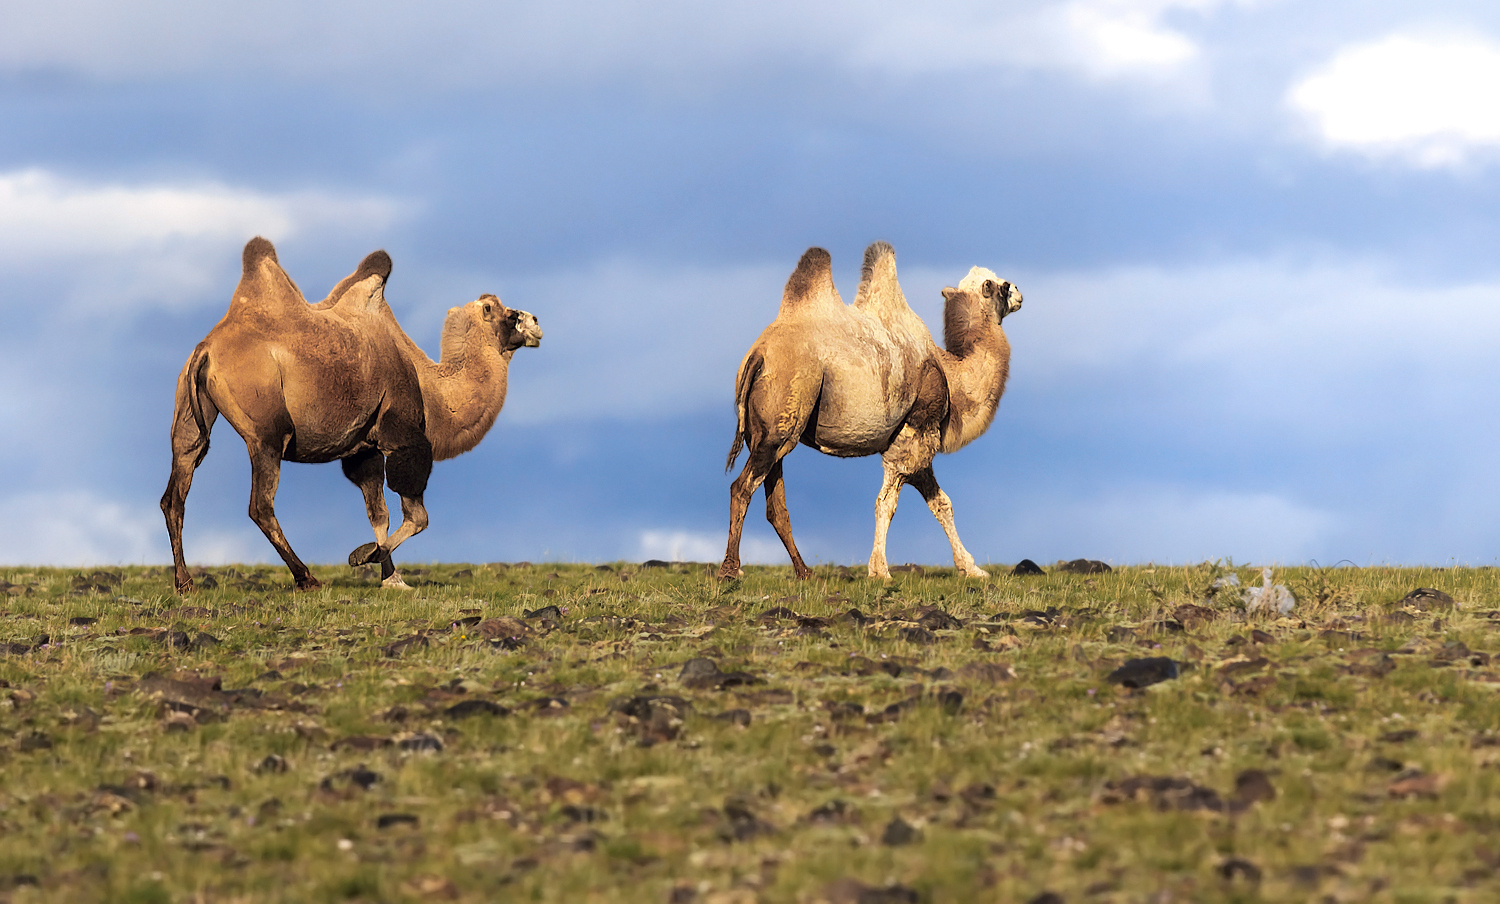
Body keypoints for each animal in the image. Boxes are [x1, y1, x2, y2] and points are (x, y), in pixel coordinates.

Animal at [158, 236, 543, 596]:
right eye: (499, 310)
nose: (537, 322)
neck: (429, 385)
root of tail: (207, 349)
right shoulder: (402, 434)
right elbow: (417, 516)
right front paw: (365, 555)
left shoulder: (364, 448)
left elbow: (379, 514)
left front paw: (392, 578)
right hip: (266, 431)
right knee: (260, 505)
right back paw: (307, 578)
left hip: (188, 417)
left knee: (176, 491)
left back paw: (185, 582)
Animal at [714, 239, 1020, 578]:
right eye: (1001, 285)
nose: (1020, 293)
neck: (952, 374)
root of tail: (758, 354)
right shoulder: (916, 430)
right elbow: (887, 503)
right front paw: (879, 571)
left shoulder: (915, 441)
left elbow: (941, 503)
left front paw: (973, 569)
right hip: (782, 418)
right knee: (741, 487)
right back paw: (730, 570)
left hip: (768, 431)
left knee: (775, 503)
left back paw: (804, 572)